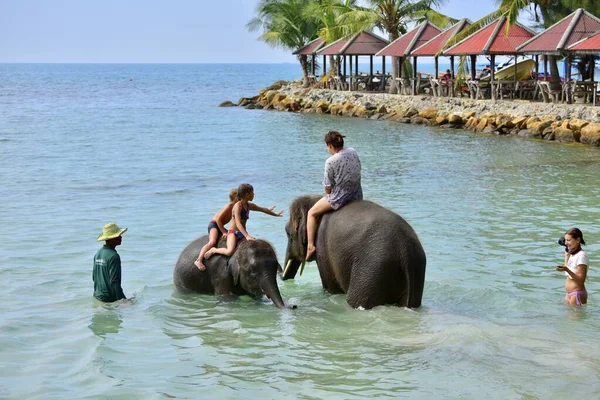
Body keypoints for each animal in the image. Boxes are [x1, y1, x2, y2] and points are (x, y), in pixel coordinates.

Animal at [282, 197, 426, 310]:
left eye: (288, 233)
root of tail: (405, 250)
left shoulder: (322, 249)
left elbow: (330, 287)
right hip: (416, 269)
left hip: (373, 268)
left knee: (356, 300)